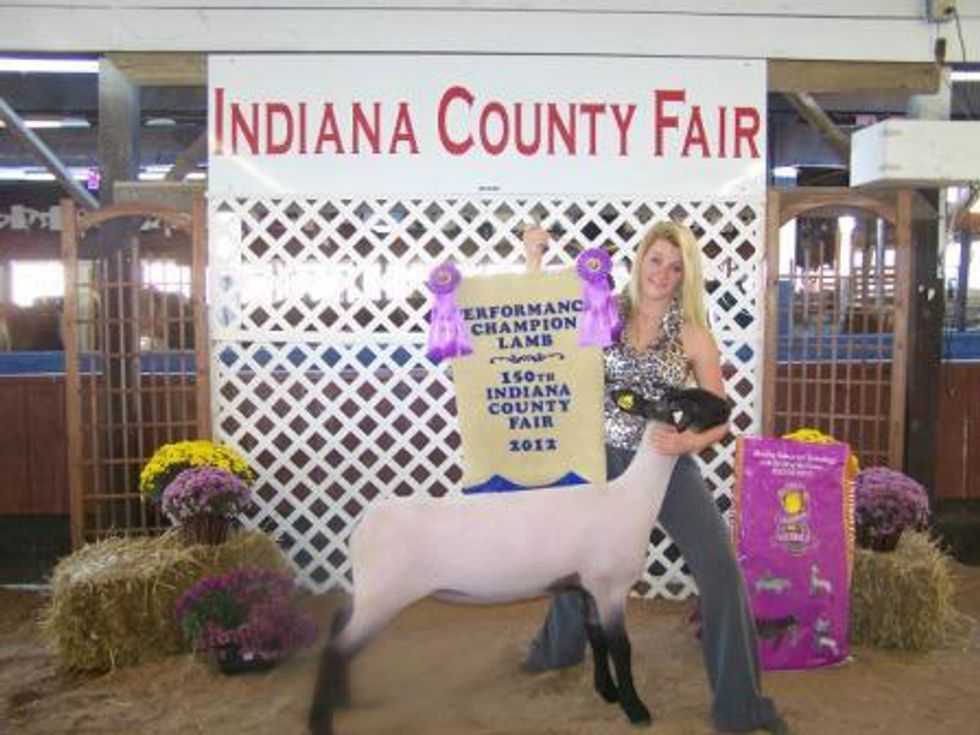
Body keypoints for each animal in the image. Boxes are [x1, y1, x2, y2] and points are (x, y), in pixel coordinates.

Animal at [308, 386, 730, 735]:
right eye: (686, 402)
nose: (726, 405)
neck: (631, 498)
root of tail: (363, 526)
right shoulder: (610, 586)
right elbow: (621, 647)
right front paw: (637, 710)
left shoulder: (587, 585)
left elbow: (595, 639)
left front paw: (607, 693)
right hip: (385, 594)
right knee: (334, 648)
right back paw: (320, 722)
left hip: (372, 591)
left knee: (338, 623)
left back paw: (344, 701)